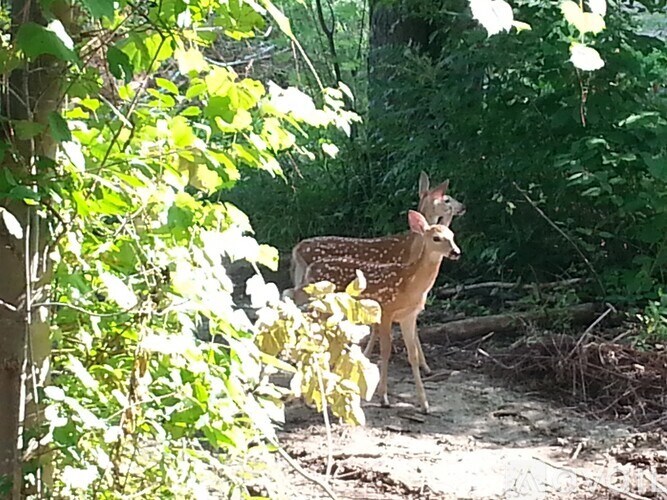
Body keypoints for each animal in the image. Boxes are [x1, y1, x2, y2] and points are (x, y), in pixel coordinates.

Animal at [299, 210, 461, 413]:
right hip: (322, 306)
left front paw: (424, 404)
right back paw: (310, 398)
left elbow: (413, 354)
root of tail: (310, 270)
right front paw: (383, 398)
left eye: (452, 235)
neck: (409, 284)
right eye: (436, 238)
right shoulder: (385, 310)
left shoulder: (409, 316)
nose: (456, 252)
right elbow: (386, 350)